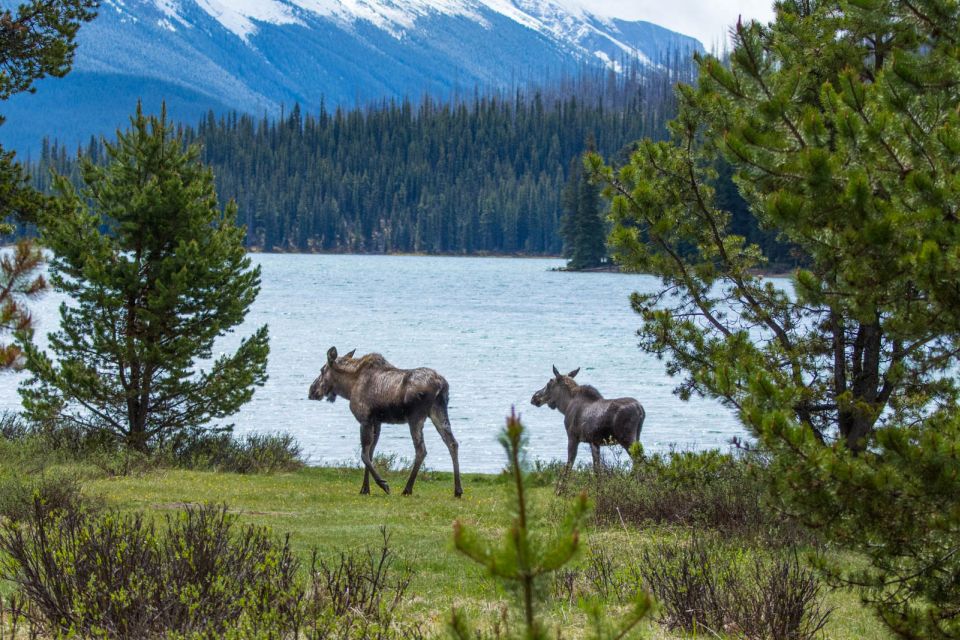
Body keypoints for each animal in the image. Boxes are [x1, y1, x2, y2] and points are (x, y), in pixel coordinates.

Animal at [310, 348, 464, 498]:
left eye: (322, 370)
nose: (311, 391)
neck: (349, 387)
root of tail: (441, 385)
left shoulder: (365, 419)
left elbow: (364, 454)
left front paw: (383, 484)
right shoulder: (377, 422)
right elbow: (370, 453)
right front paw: (365, 489)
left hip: (416, 417)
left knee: (421, 449)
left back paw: (407, 489)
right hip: (438, 411)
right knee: (452, 443)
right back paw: (458, 490)